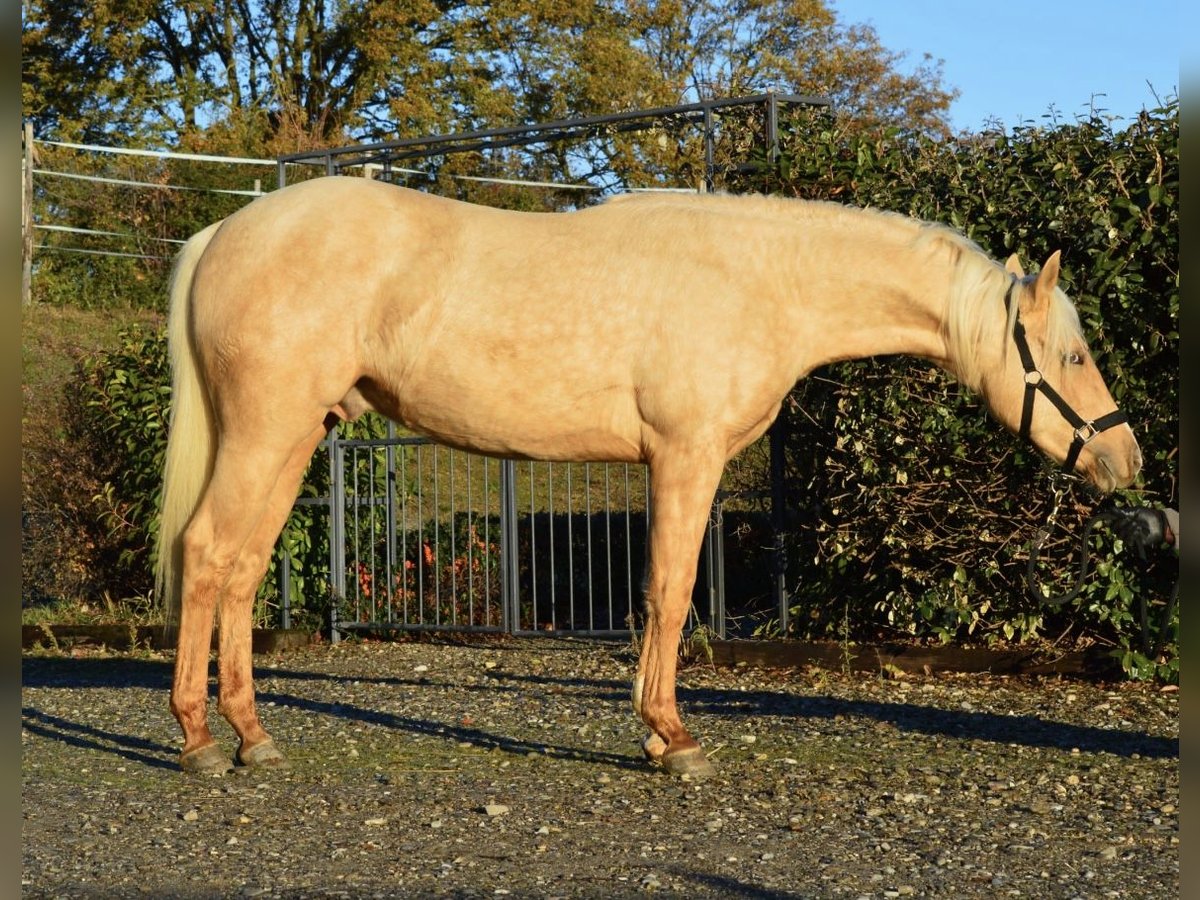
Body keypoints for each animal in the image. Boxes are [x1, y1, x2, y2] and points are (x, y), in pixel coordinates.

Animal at [154, 176, 1137, 777]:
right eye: (1074, 354)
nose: (1125, 461)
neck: (763, 281)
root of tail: (221, 232)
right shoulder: (685, 456)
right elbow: (669, 593)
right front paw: (672, 738)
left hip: (294, 438)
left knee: (241, 567)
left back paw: (252, 736)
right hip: (265, 431)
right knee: (206, 552)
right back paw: (199, 741)